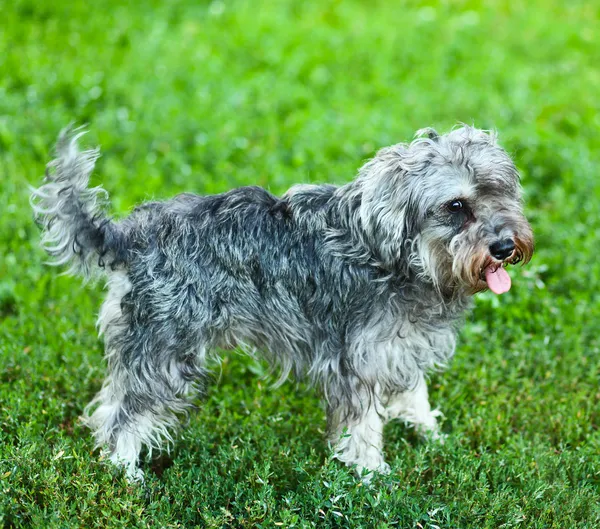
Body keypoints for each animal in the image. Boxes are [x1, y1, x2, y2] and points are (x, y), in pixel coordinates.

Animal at [29, 126, 536, 480]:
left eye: (499, 192)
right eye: (456, 206)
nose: (505, 246)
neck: (402, 257)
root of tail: (130, 237)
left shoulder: (399, 350)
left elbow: (415, 395)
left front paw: (432, 435)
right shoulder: (357, 364)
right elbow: (362, 427)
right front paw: (372, 475)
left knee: (107, 406)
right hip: (166, 356)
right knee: (123, 417)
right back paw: (125, 473)